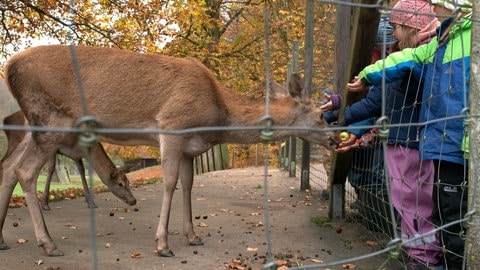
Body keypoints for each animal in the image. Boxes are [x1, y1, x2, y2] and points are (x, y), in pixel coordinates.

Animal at [1, 110, 137, 211]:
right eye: (120, 184)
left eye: (128, 181)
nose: (133, 200)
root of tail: (6, 120)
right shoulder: (53, 148)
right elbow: (51, 168)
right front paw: (45, 204)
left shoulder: (77, 155)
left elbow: (82, 171)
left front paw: (91, 202)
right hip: (15, 141)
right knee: (5, 162)